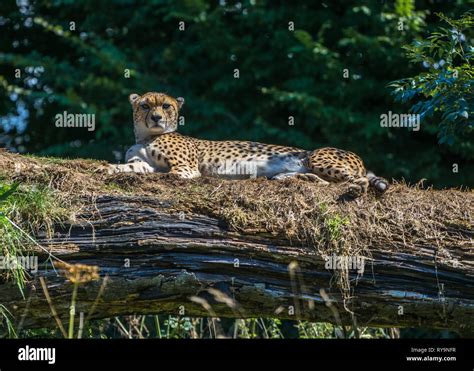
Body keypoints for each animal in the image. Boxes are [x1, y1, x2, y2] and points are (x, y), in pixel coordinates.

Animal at [108, 92, 388, 195]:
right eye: (145, 106)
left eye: (166, 106)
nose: (156, 117)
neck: (146, 136)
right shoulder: (144, 164)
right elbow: (129, 167)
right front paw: (108, 168)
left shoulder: (186, 169)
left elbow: (170, 175)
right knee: (322, 182)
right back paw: (300, 179)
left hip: (317, 156)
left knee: (353, 180)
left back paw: (356, 188)